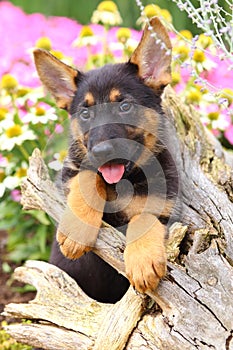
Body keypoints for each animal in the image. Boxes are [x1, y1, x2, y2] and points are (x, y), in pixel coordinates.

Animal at [33, 17, 178, 304]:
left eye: (124, 106)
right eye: (85, 113)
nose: (102, 151)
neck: (123, 181)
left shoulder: (163, 203)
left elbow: (144, 216)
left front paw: (143, 261)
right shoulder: (73, 170)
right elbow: (88, 178)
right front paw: (77, 231)